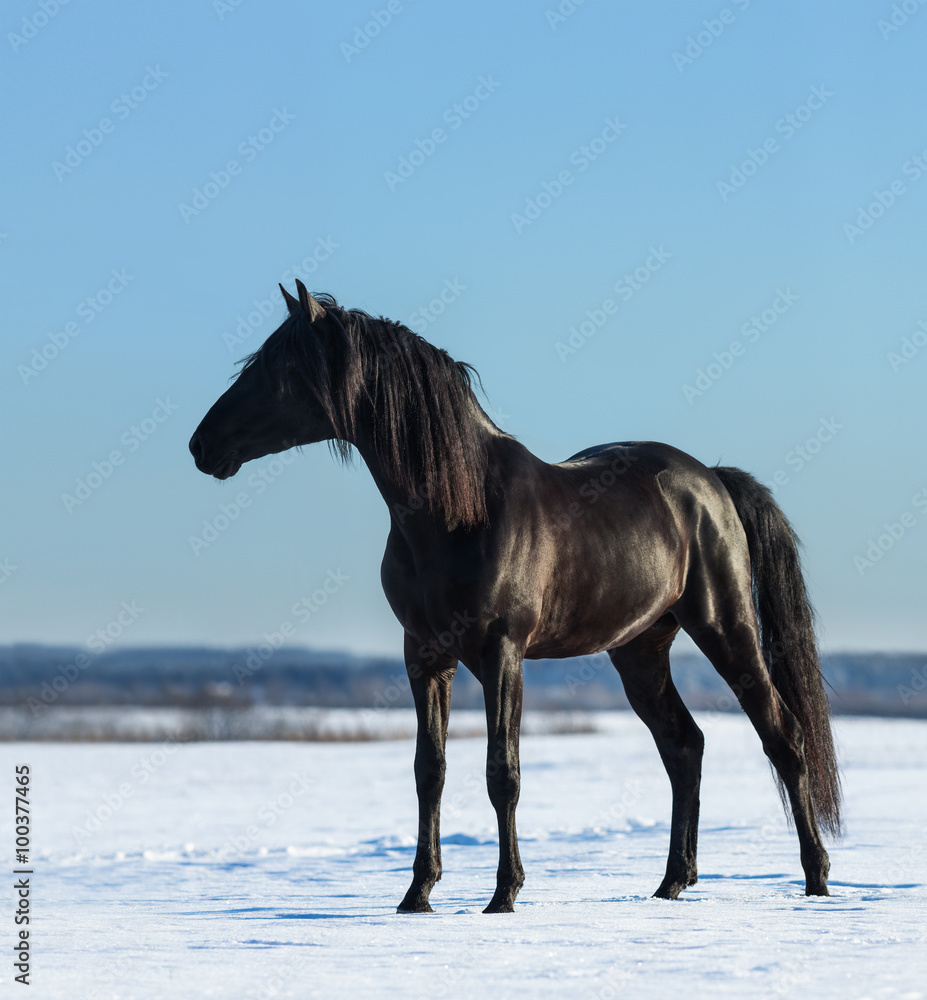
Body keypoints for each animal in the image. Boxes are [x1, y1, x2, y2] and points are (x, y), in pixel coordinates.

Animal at [188, 282, 840, 916]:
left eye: (279, 366)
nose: (202, 445)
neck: (458, 512)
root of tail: (711, 481)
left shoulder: (503, 654)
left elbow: (503, 772)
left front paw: (504, 894)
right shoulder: (425, 656)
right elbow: (430, 770)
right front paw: (417, 894)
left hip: (726, 629)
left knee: (783, 736)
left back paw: (816, 879)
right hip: (638, 651)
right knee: (685, 746)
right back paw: (673, 882)